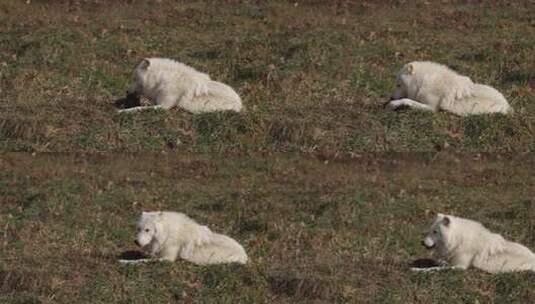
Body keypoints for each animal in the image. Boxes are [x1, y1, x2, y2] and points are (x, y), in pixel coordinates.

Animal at [119, 211, 249, 266]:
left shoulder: (168, 259)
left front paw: (125, 261)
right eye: (138, 229)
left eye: (147, 230)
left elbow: (142, 260)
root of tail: (245, 255)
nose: (135, 242)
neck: (167, 234)